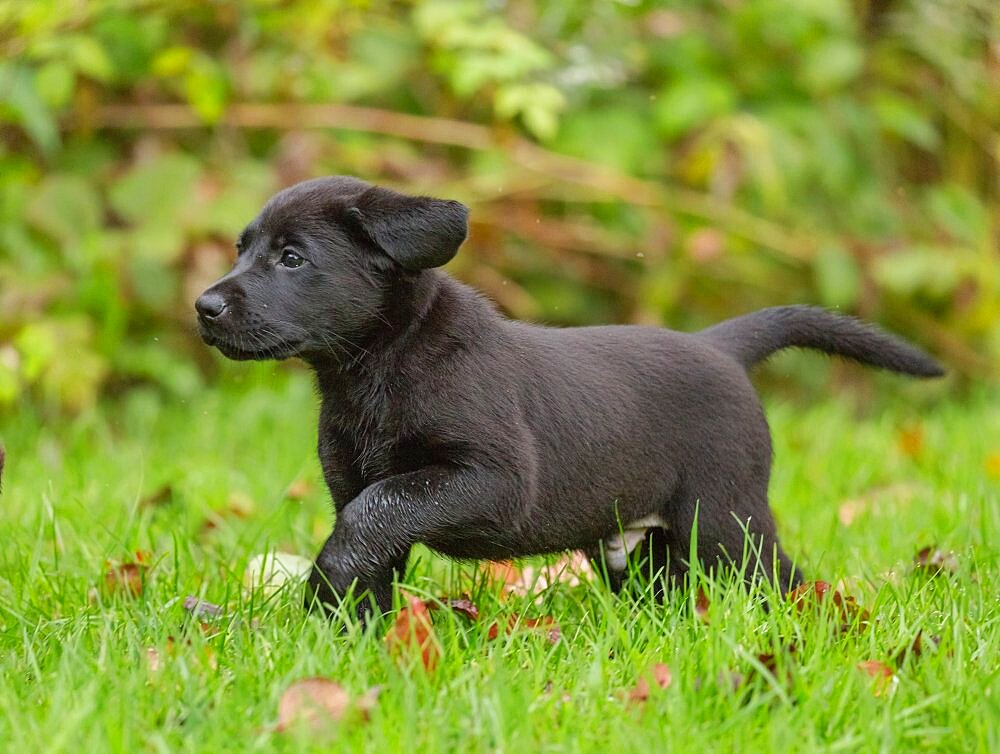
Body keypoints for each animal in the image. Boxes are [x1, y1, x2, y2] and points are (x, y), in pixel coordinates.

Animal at [197, 176, 944, 616]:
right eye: (242, 249)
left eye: (292, 258)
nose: (204, 306)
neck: (375, 367)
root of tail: (720, 347)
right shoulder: (353, 479)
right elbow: (371, 532)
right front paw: (349, 629)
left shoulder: (491, 478)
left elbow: (374, 515)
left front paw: (328, 588)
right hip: (642, 544)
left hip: (724, 518)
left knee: (776, 574)